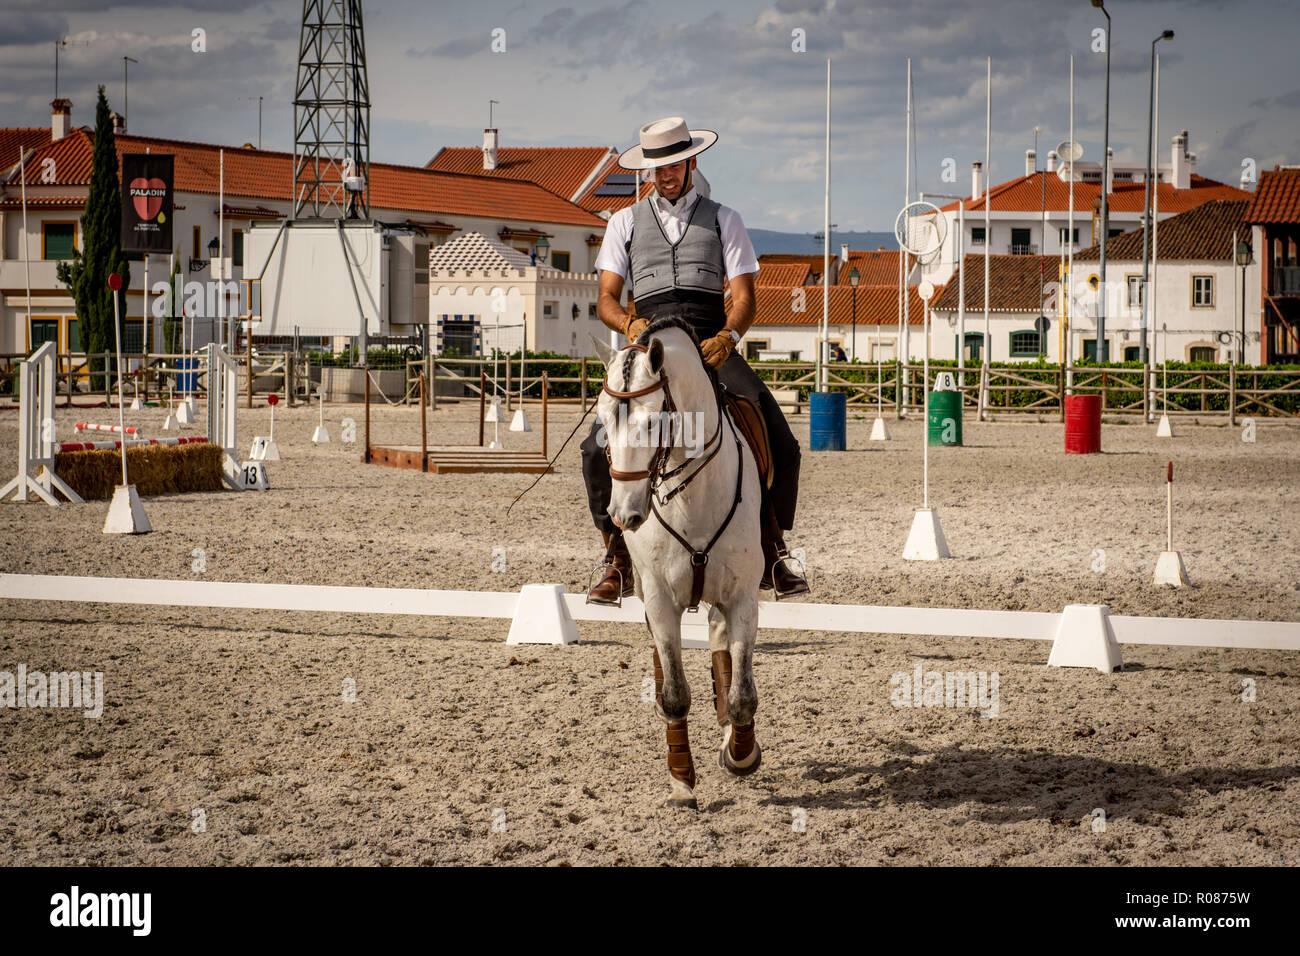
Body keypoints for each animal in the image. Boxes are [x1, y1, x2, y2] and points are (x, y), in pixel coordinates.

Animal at [595, 319, 764, 806]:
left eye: (654, 422)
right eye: (601, 422)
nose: (624, 515)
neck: (693, 496)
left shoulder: (743, 597)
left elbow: (742, 695)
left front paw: (740, 755)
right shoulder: (658, 598)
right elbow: (673, 692)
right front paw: (682, 780)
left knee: (721, 646)